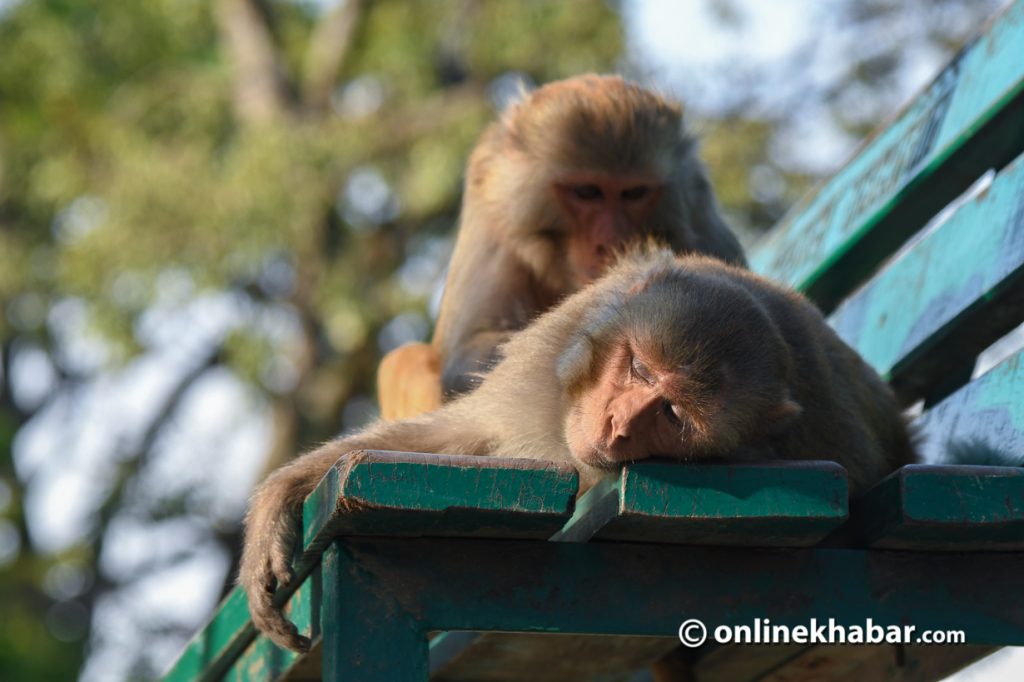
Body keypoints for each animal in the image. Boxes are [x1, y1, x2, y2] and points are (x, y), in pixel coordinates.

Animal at [243, 248, 917, 647]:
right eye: (640, 369)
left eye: (672, 414)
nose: (618, 426)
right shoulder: (541, 362)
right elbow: (460, 434)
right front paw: (279, 500)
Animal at [376, 71, 745, 417]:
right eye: (587, 192)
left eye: (634, 193)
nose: (610, 242)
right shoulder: (494, 210)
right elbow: (470, 350)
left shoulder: (700, 218)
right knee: (407, 359)